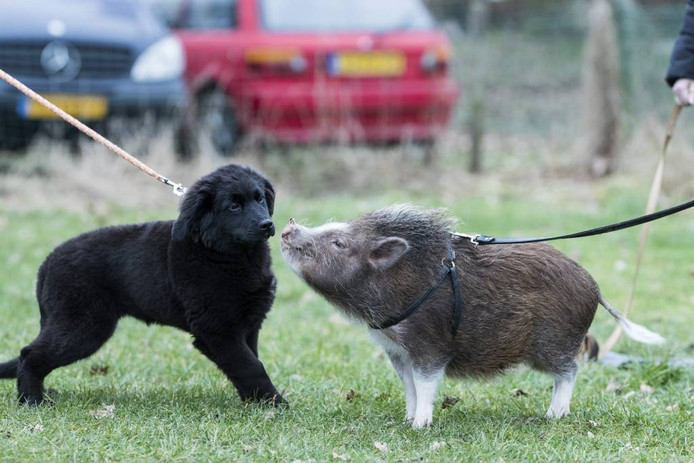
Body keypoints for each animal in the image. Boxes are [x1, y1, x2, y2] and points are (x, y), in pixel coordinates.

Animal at [0, 165, 286, 408]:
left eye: (260, 199)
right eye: (234, 206)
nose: (267, 225)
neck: (225, 254)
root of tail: (46, 264)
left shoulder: (247, 325)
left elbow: (247, 362)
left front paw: (256, 402)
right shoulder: (217, 329)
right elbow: (250, 365)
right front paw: (275, 404)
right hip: (81, 327)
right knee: (28, 354)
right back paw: (31, 400)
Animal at [280, 205, 668, 430]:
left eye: (339, 243)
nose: (287, 226)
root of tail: (595, 287)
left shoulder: (429, 344)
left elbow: (425, 384)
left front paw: (420, 426)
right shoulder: (396, 351)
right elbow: (408, 386)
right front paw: (406, 420)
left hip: (552, 344)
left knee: (570, 371)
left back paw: (552, 416)